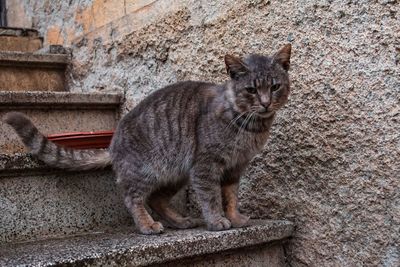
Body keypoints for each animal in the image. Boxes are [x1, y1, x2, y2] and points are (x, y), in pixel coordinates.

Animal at [4, 44, 292, 234]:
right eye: (251, 90)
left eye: (275, 86)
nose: (265, 103)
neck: (250, 126)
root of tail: (113, 142)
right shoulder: (206, 166)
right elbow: (211, 197)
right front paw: (217, 221)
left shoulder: (235, 168)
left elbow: (231, 196)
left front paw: (236, 217)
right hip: (147, 170)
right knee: (133, 198)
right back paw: (147, 225)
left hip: (175, 173)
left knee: (157, 199)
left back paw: (180, 221)